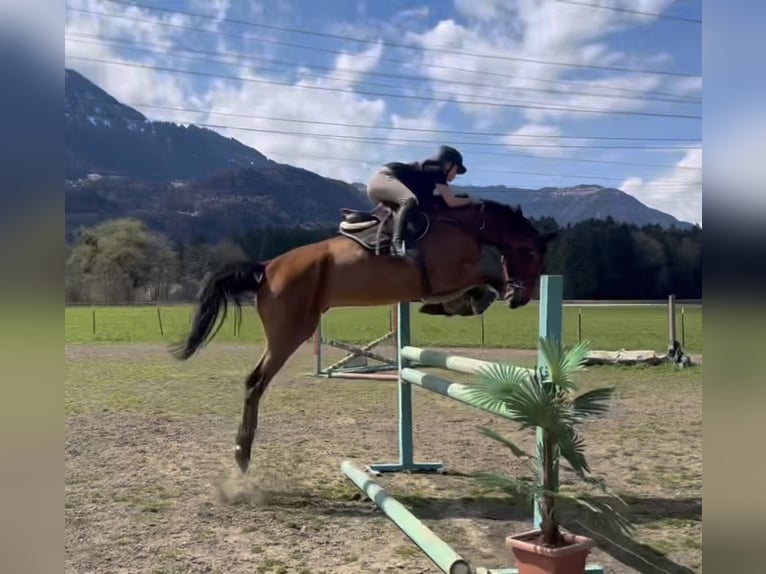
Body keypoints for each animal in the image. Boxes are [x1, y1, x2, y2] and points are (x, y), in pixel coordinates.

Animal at [170, 198, 555, 472]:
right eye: (532, 253)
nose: (521, 299)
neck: (465, 226)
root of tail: (266, 267)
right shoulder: (447, 276)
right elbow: (486, 279)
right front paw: (474, 298)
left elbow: (479, 286)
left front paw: (462, 304)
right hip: (290, 332)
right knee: (255, 381)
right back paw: (242, 453)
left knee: (254, 381)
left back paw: (242, 452)